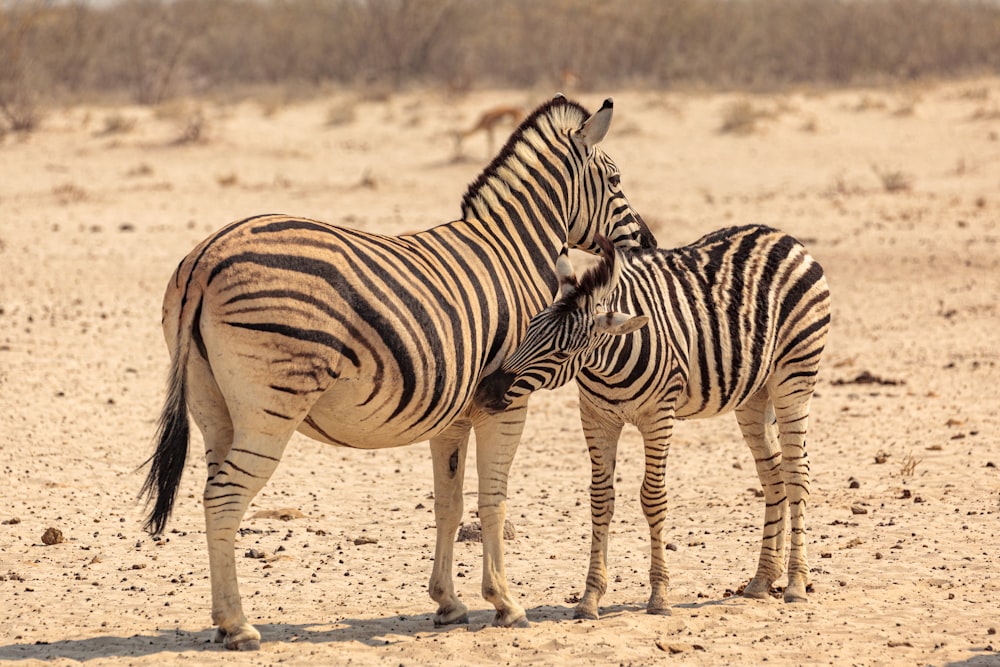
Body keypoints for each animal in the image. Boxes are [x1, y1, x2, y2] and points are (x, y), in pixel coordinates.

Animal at [141, 95, 656, 652]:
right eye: (615, 179)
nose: (649, 244)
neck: (514, 252)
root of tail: (205, 259)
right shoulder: (506, 402)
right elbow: (492, 501)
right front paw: (505, 603)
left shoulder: (454, 413)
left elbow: (448, 505)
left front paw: (449, 604)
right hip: (270, 409)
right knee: (224, 498)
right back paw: (239, 626)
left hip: (212, 407)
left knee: (212, 493)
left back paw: (222, 620)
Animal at [476, 226, 828, 620]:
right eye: (528, 331)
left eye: (562, 352)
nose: (485, 391)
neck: (609, 363)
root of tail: (782, 236)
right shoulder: (595, 417)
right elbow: (601, 499)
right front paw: (590, 598)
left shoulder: (659, 416)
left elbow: (653, 497)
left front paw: (659, 596)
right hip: (753, 394)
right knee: (773, 475)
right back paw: (763, 578)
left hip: (794, 377)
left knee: (797, 473)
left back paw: (796, 583)